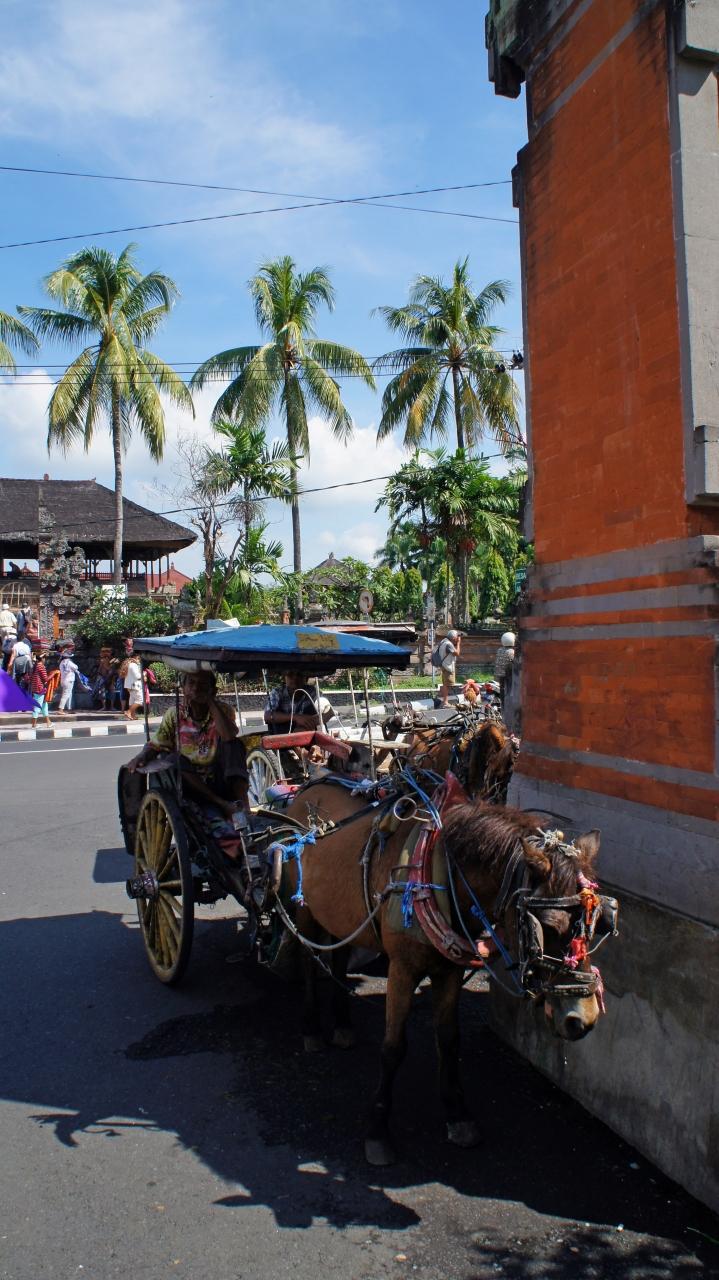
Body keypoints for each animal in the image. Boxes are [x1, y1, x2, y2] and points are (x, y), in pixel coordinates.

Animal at [281, 778, 612, 1166]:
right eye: (548, 926)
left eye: (597, 924)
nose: (584, 1018)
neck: (440, 872)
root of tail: (306, 789)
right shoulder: (402, 969)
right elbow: (393, 1047)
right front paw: (378, 1130)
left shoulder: (450, 969)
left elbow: (450, 1040)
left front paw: (457, 1114)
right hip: (303, 908)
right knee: (308, 961)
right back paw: (311, 1027)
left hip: (339, 912)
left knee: (338, 955)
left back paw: (343, 1025)